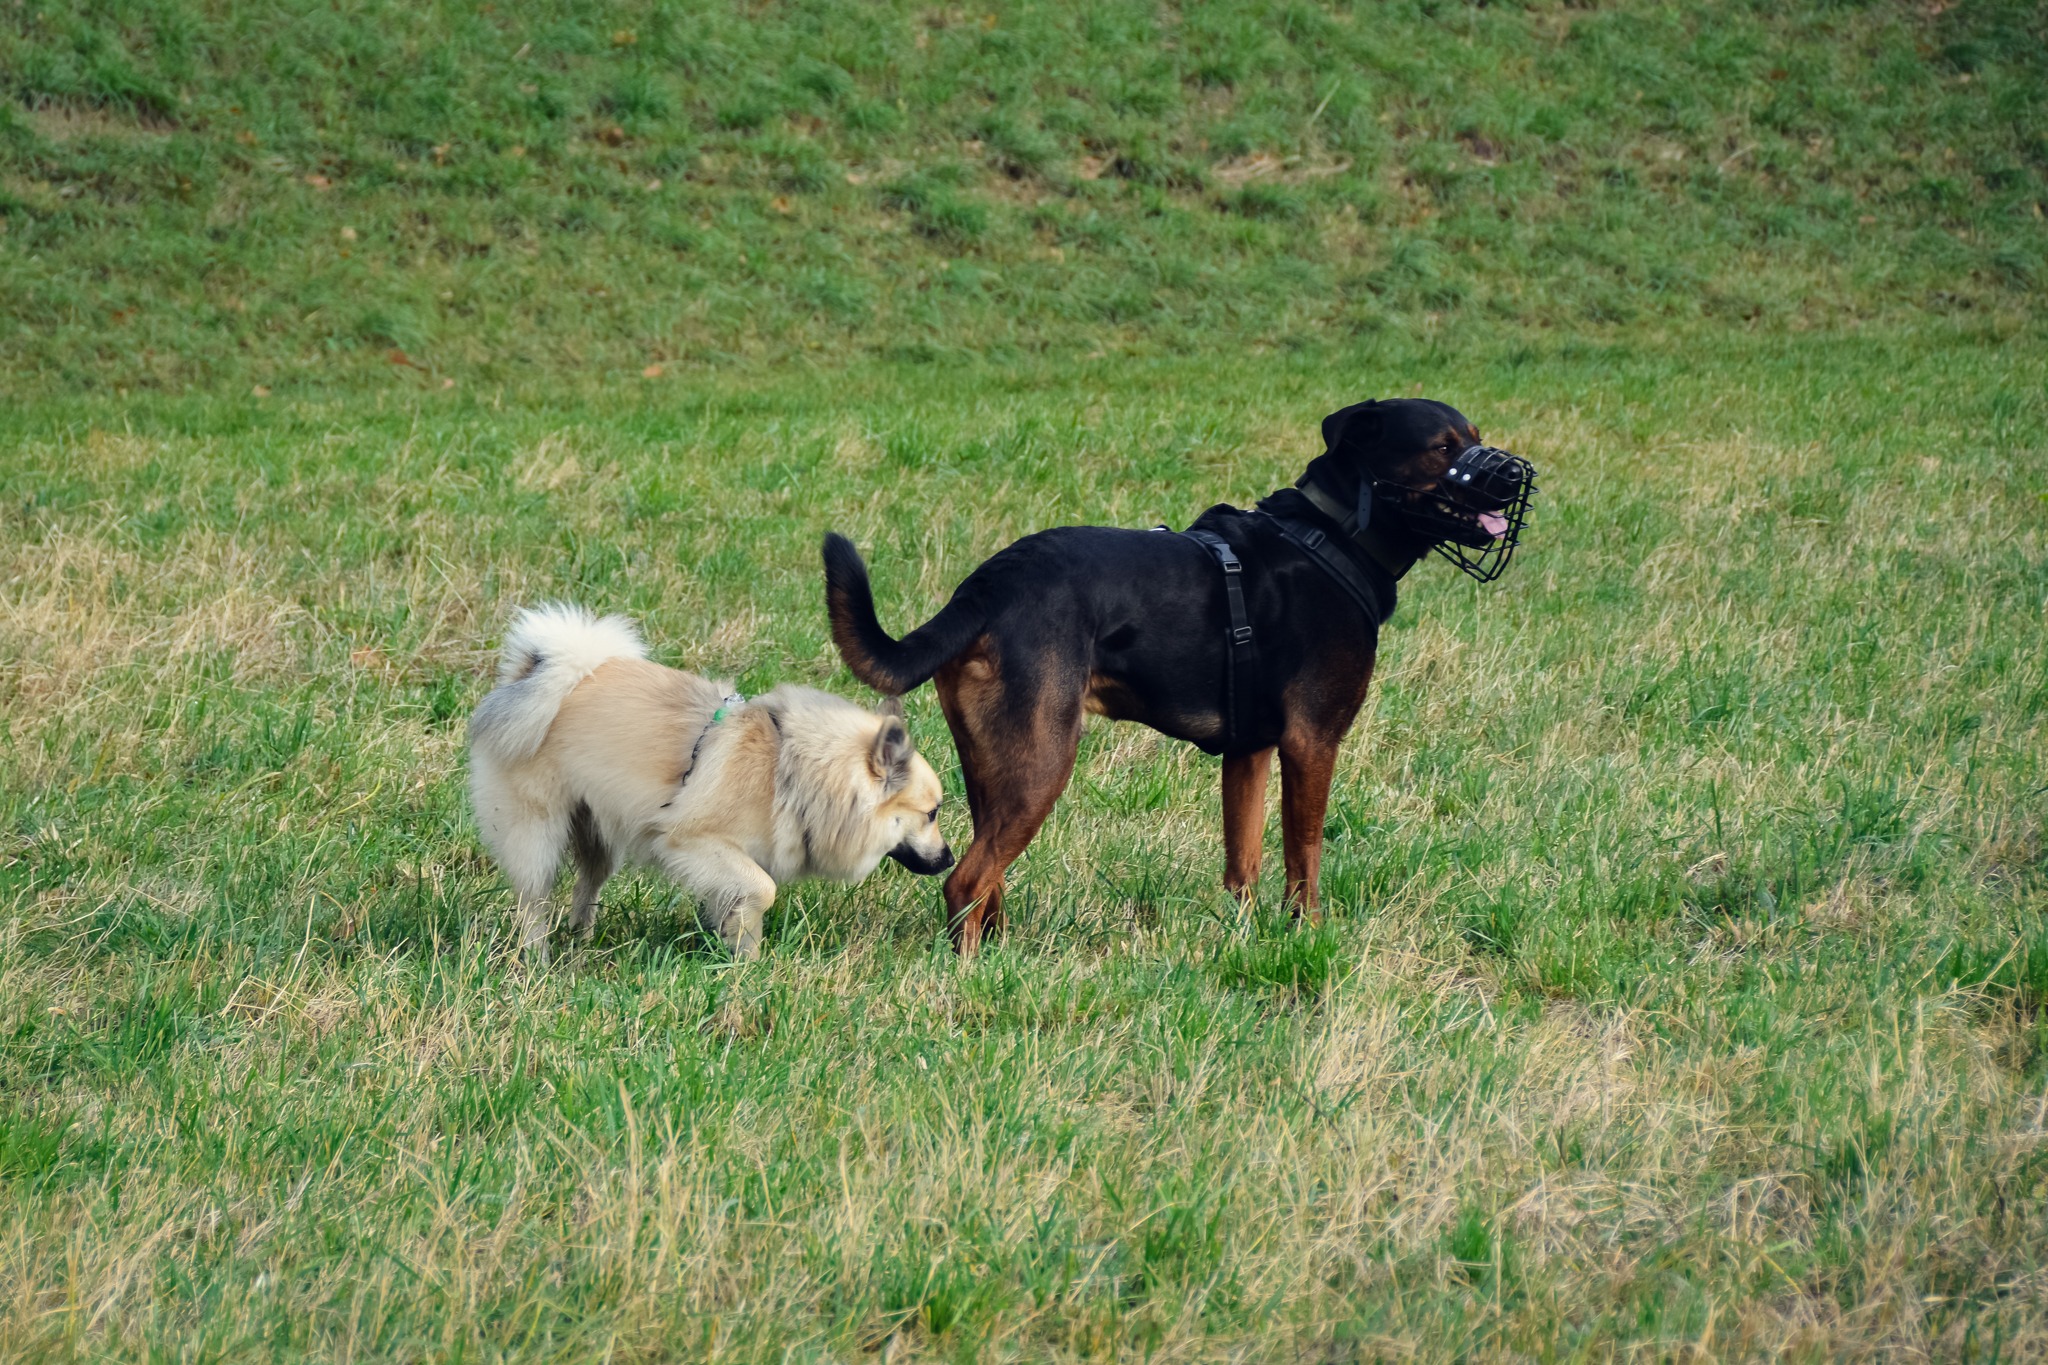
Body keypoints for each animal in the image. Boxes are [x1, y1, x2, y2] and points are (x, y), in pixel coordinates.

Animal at [468, 609, 950, 961]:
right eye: (932, 813)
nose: (947, 859)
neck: (790, 770)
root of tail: (536, 676)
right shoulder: (693, 843)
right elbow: (764, 890)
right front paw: (748, 962)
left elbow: (741, 907)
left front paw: (739, 961)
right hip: (539, 833)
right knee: (534, 900)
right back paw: (538, 959)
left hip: (597, 835)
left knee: (587, 887)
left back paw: (580, 943)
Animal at [823, 397, 1531, 949]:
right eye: (1442, 450)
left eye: (1473, 437)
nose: (1511, 477)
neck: (1333, 535)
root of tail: (986, 586)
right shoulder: (1312, 743)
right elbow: (1304, 856)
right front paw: (1306, 935)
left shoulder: (1249, 752)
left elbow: (1243, 864)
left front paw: (1242, 943)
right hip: (1043, 763)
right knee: (966, 880)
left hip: (997, 768)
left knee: (984, 878)